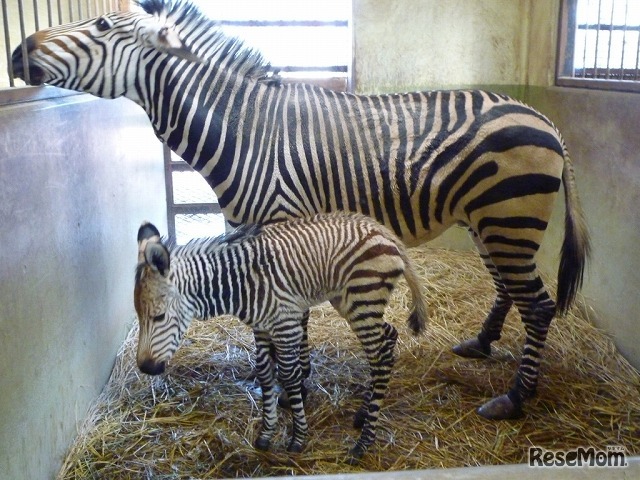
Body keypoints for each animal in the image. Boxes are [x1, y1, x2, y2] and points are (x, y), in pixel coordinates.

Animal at [11, 0, 592, 420]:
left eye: (101, 24)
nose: (17, 52)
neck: (242, 132)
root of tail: (544, 118)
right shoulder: (248, 228)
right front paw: (270, 378)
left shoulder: (283, 224)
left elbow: (288, 316)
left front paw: (298, 385)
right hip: (490, 221)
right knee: (508, 288)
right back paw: (480, 343)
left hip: (508, 217)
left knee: (538, 305)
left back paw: (514, 399)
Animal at [133, 214, 428, 462]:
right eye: (138, 315)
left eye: (158, 317)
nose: (145, 368)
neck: (241, 283)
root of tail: (384, 231)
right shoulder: (262, 328)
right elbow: (265, 374)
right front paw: (266, 434)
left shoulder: (286, 325)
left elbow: (288, 375)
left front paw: (298, 438)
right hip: (350, 301)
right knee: (388, 338)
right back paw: (362, 415)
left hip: (363, 298)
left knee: (379, 359)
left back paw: (364, 441)